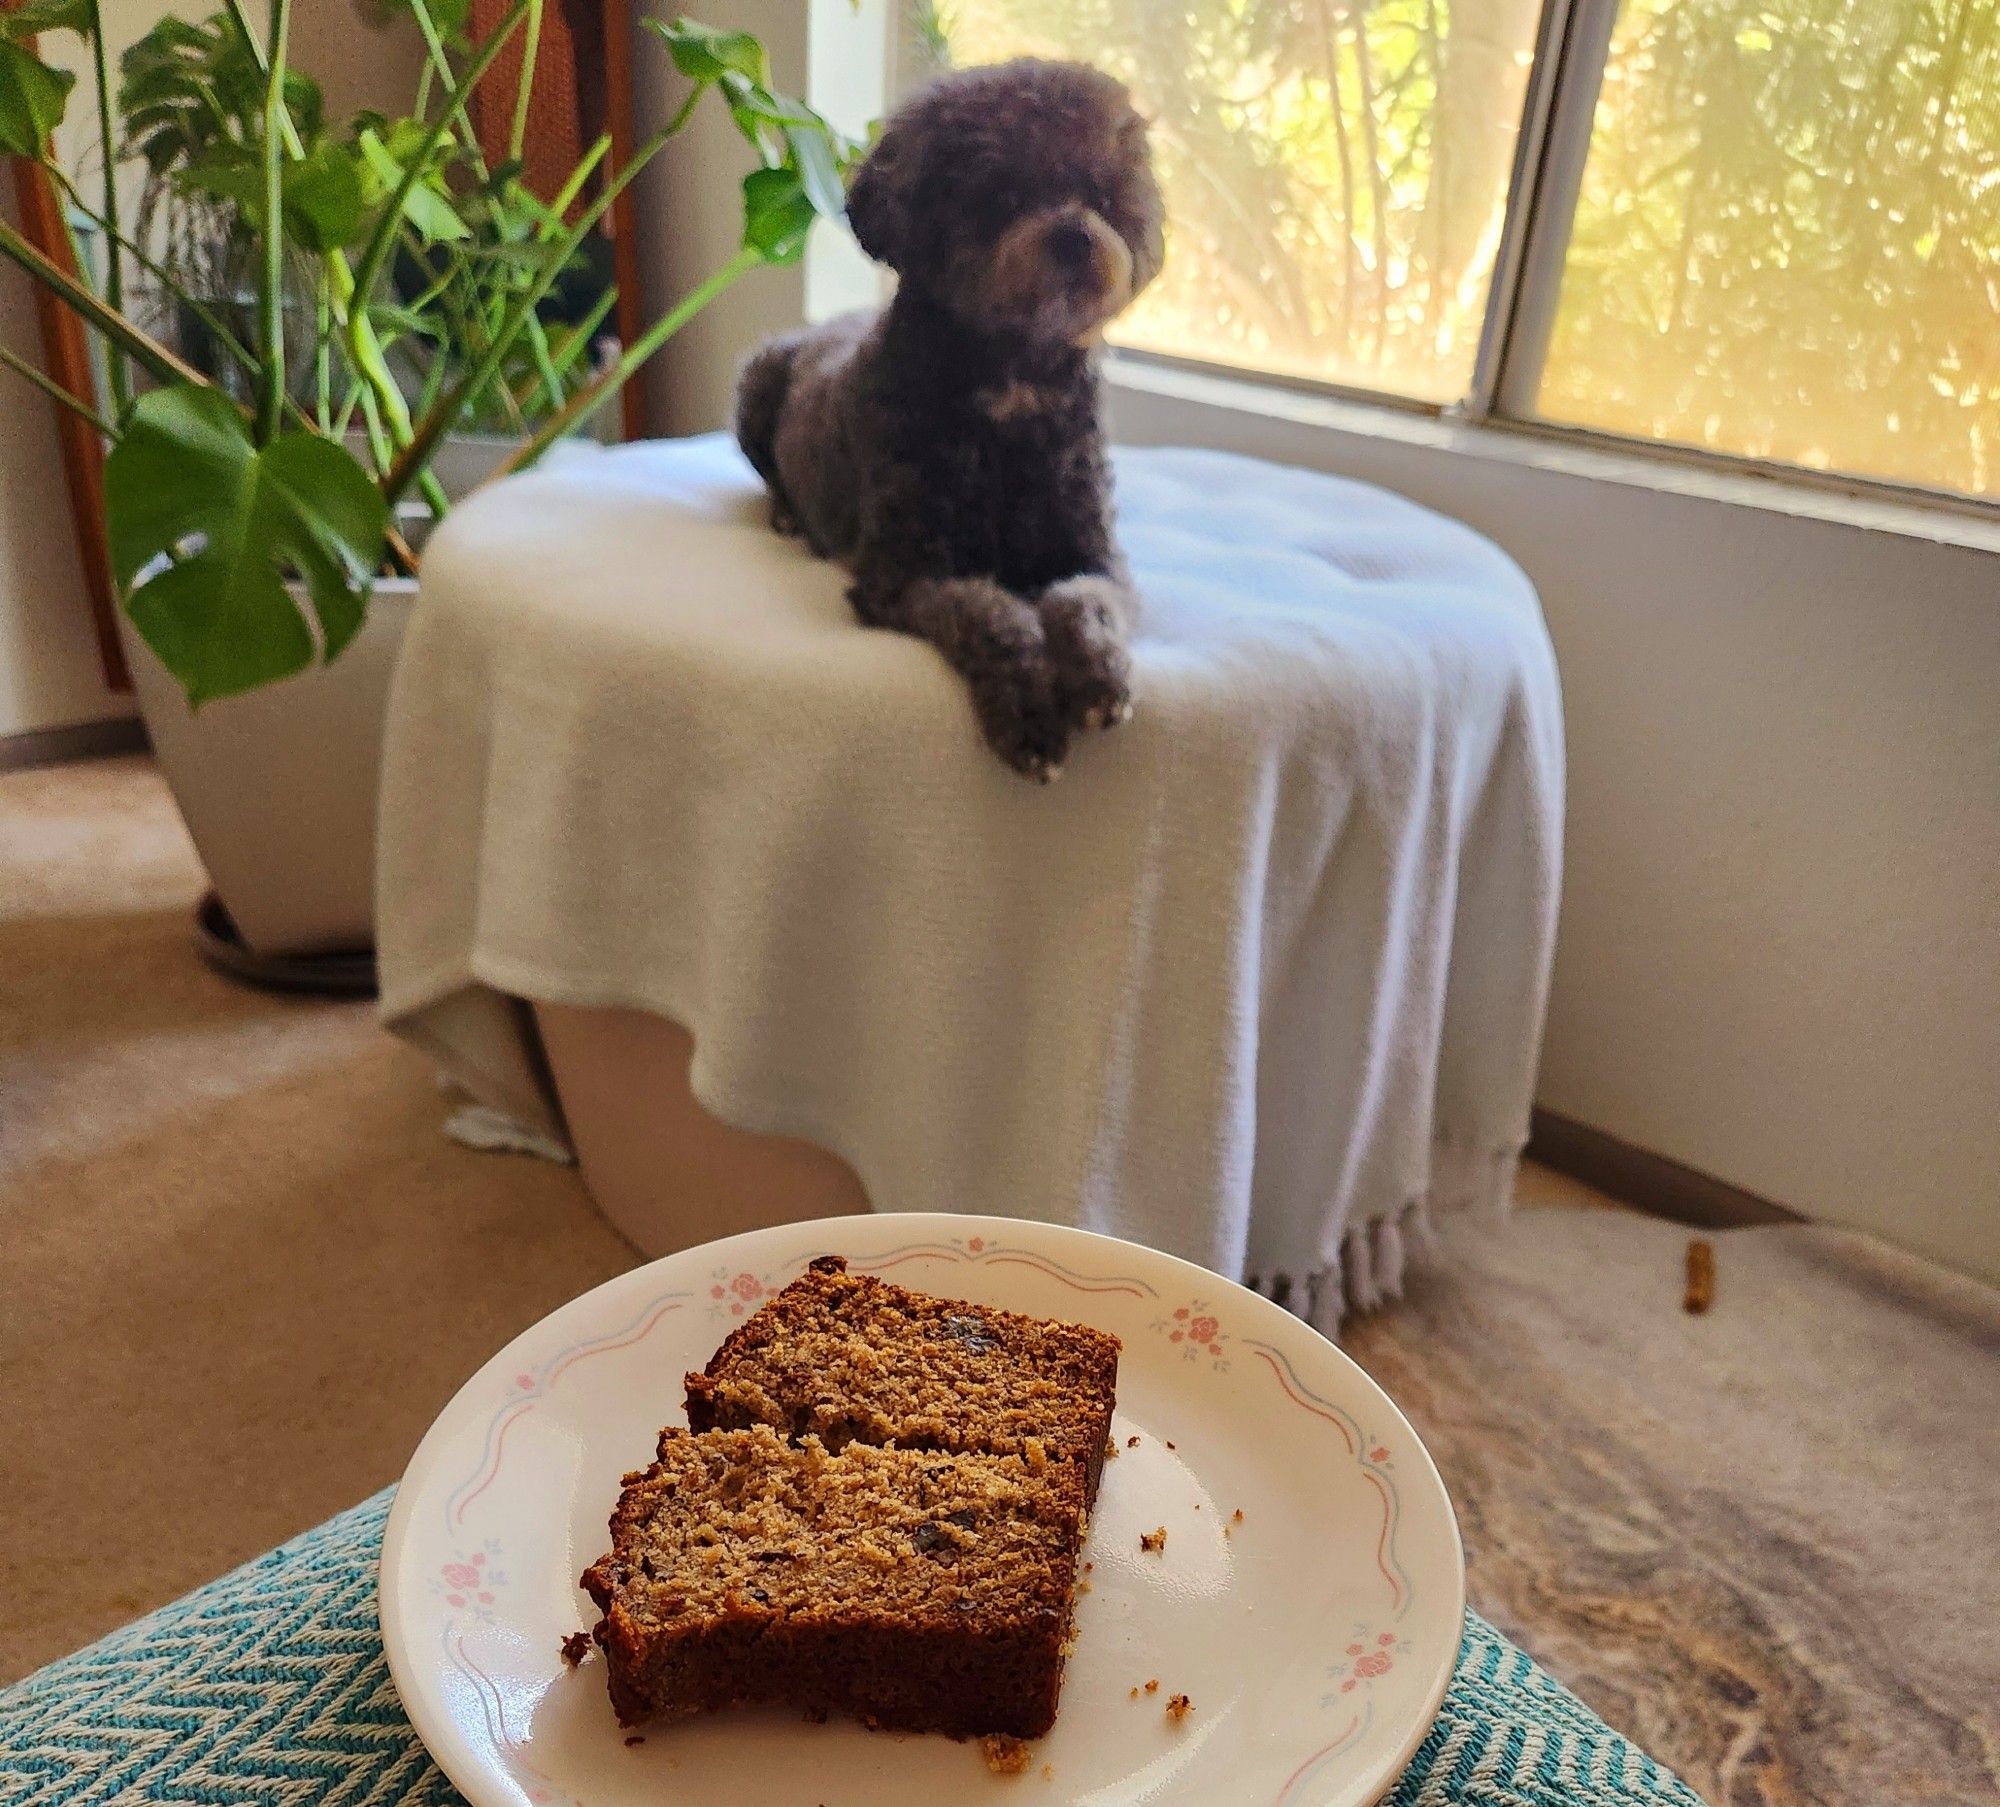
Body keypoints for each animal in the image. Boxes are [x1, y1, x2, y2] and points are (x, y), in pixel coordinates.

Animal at [736, 54, 1168, 775]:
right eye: (1002, 193)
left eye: (1103, 195)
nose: (1077, 237)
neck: (1009, 380)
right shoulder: (904, 576)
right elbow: (990, 613)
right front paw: (1028, 710)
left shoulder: (1100, 558)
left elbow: (1086, 600)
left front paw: (1099, 675)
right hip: (753, 384)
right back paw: (787, 515)